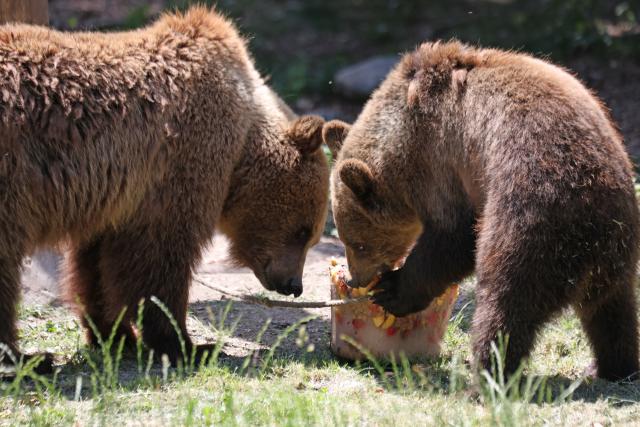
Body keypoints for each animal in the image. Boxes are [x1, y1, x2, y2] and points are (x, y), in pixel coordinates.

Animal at [0, 6, 329, 372]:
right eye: (304, 231)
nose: (294, 286)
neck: (241, 143)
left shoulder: (113, 196)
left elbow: (94, 265)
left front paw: (115, 336)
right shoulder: (176, 163)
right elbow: (160, 255)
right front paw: (186, 345)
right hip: (13, 175)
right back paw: (26, 358)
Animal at [323, 41, 640, 381]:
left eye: (358, 243)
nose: (356, 279)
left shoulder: (442, 159)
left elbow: (454, 234)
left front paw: (393, 290)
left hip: (534, 220)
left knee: (505, 300)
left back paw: (488, 372)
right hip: (618, 244)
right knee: (611, 311)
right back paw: (612, 366)